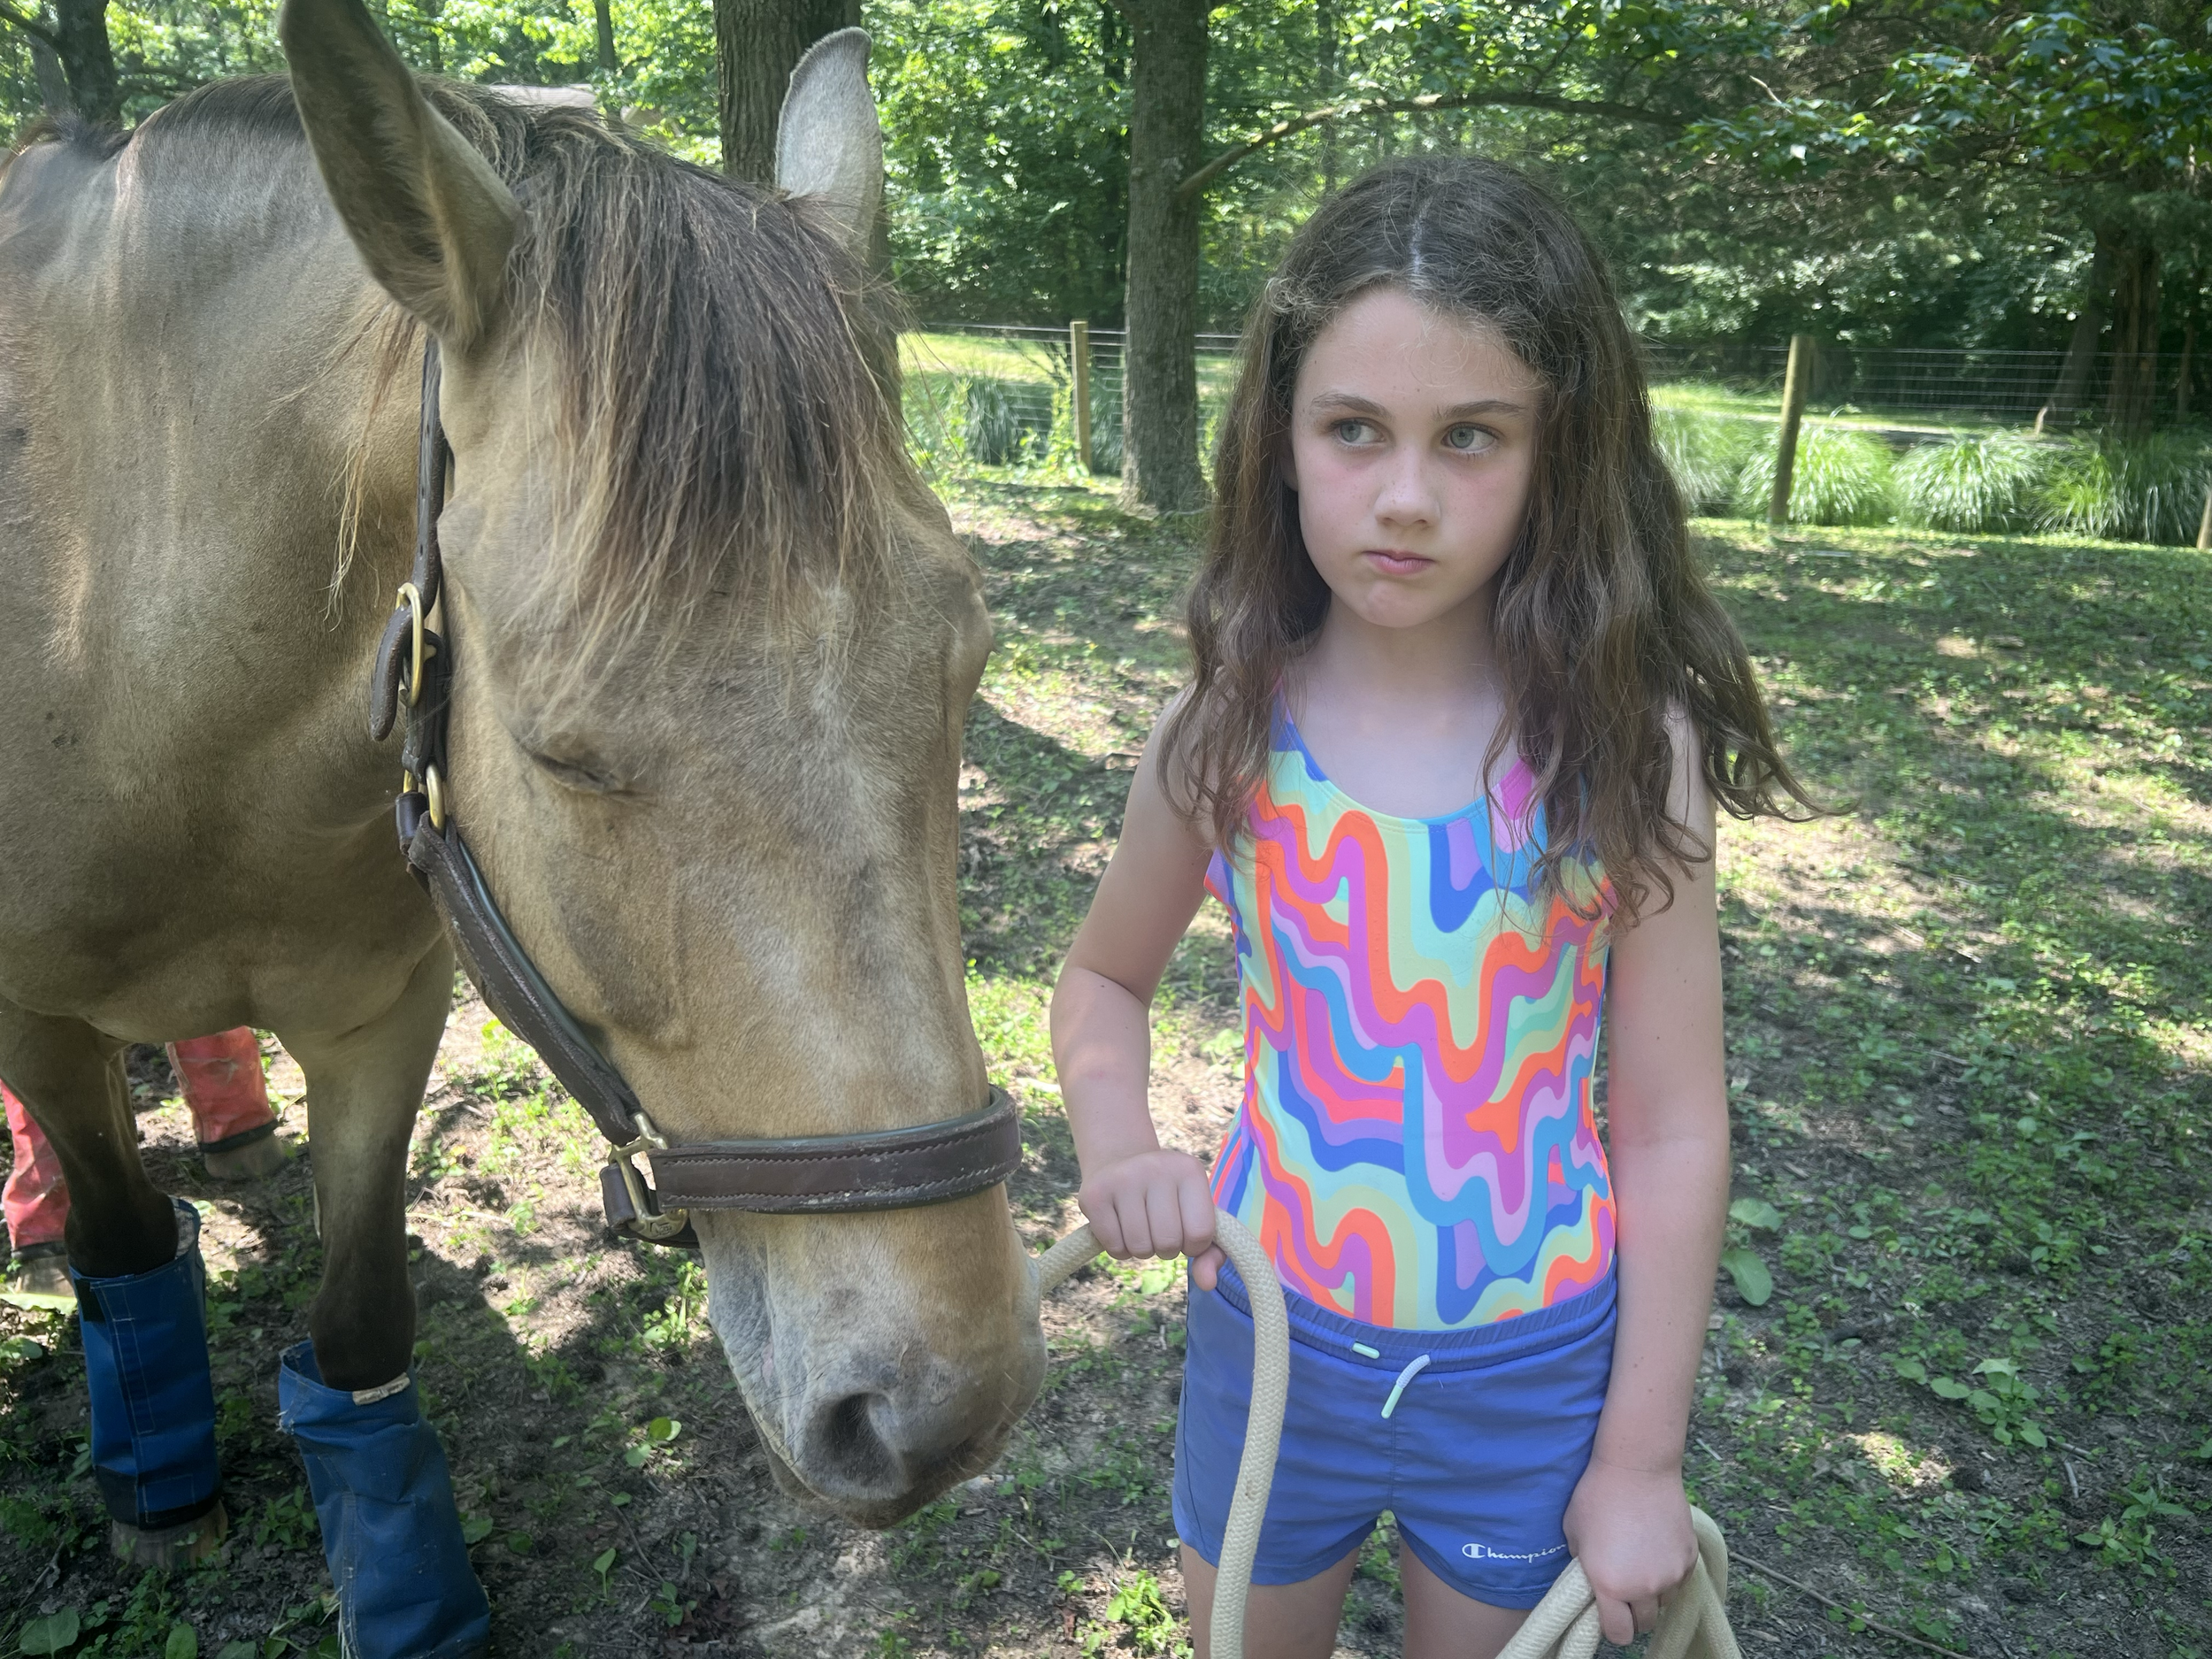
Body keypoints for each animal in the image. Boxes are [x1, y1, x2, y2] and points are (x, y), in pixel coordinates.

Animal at [0, 0, 1044, 1646]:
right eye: (558, 752)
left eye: (966, 667)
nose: (942, 1408)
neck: (115, 614)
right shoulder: (36, 1015)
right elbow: (119, 1233)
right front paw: (153, 1491)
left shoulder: (383, 1012)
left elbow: (361, 1317)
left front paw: (410, 1595)